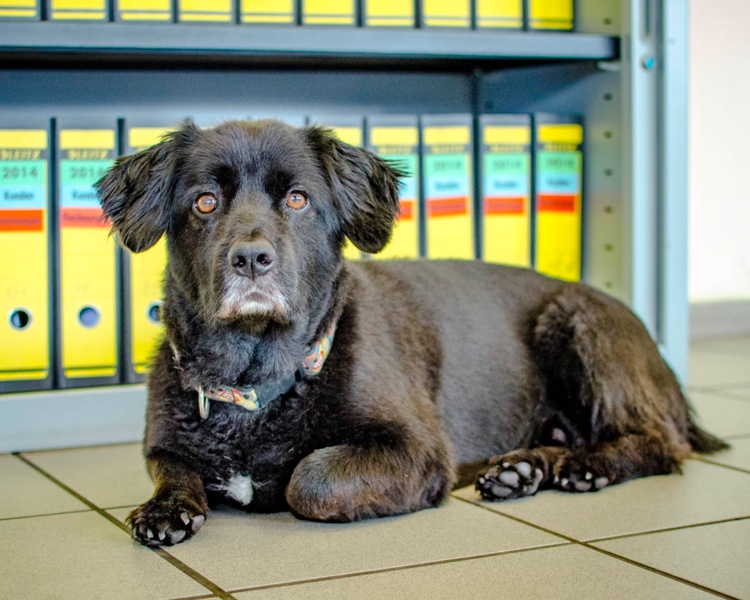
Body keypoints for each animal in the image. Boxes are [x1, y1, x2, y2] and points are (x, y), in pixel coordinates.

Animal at [96, 119, 727, 547]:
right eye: (205, 202)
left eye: (298, 199)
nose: (251, 258)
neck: (258, 382)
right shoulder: (165, 444)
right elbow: (174, 470)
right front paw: (167, 508)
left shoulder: (417, 449)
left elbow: (310, 478)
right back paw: (521, 470)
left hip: (578, 327)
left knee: (661, 444)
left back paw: (586, 467)